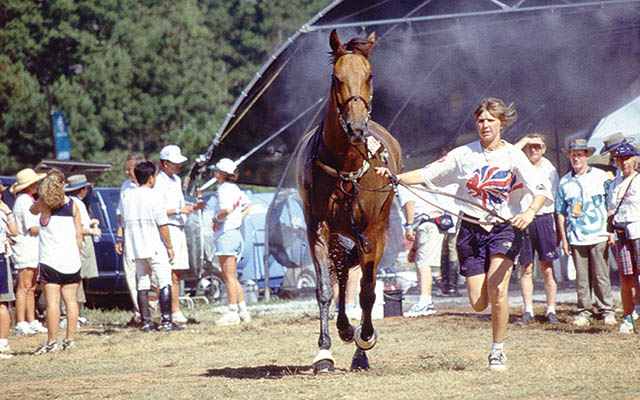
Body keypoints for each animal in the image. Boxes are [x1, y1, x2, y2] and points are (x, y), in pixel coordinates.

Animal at [296, 29, 402, 374]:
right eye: (336, 78)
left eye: (369, 76)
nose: (356, 128)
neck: (344, 164)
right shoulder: (317, 227)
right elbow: (325, 288)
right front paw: (323, 352)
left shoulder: (372, 232)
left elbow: (367, 291)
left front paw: (364, 341)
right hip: (341, 234)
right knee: (341, 276)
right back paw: (343, 328)